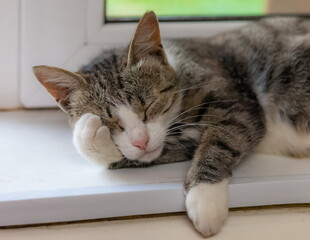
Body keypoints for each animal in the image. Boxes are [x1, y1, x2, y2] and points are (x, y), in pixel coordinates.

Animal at [33, 11, 310, 236]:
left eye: (148, 105)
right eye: (110, 121)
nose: (141, 140)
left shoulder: (240, 104)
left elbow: (222, 139)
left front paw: (205, 199)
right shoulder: (172, 143)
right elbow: (137, 155)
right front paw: (90, 133)